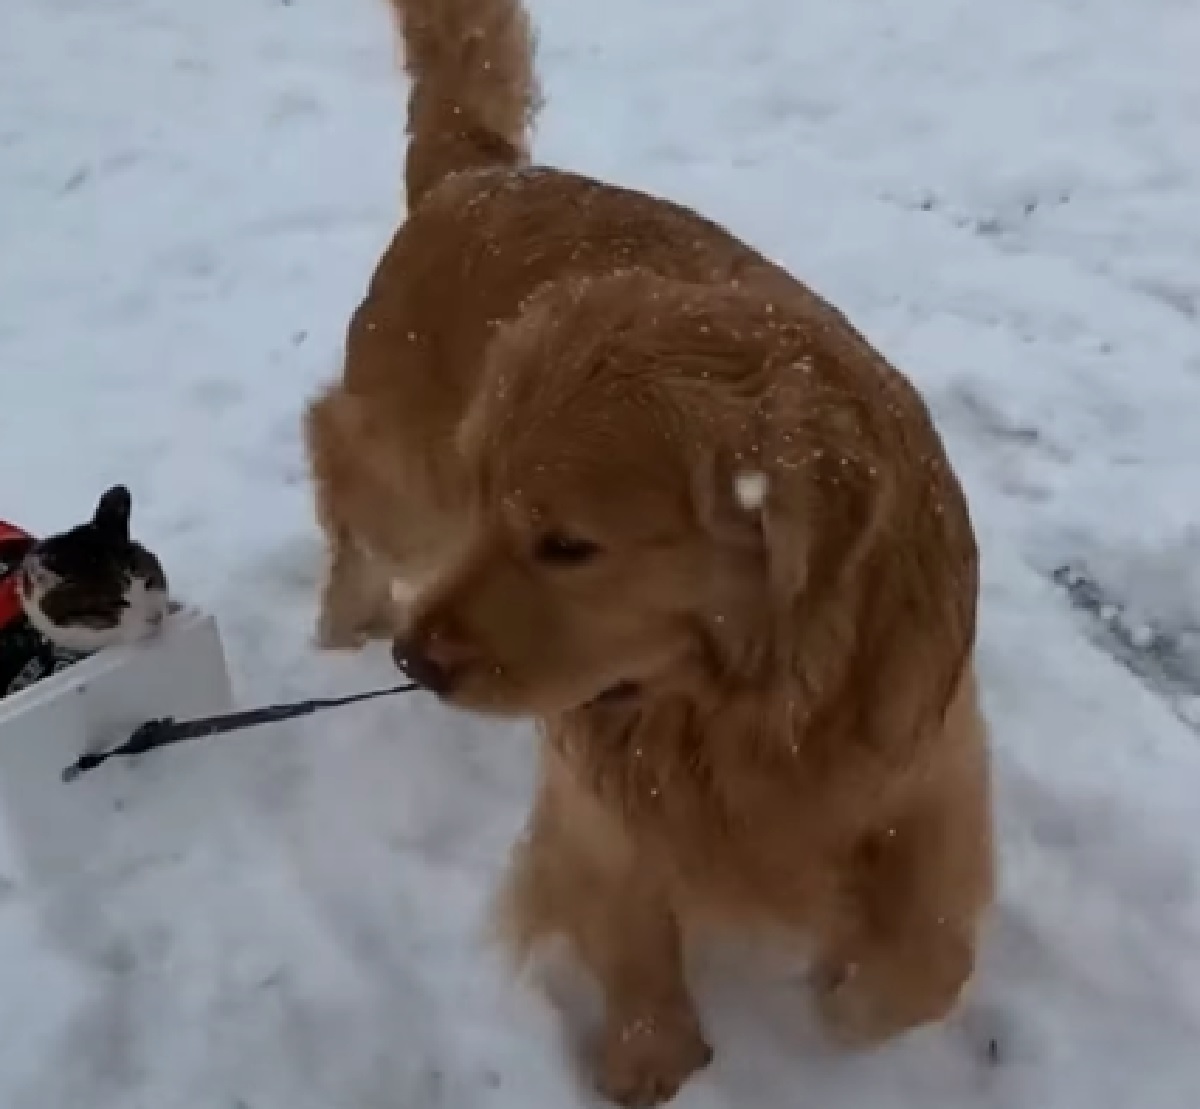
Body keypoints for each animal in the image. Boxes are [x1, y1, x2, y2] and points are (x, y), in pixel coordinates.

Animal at [307, 4, 993, 1104]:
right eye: (500, 511)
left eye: (567, 545)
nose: (417, 660)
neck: (737, 706)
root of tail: (480, 173)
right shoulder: (594, 799)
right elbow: (632, 935)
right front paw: (650, 1054)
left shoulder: (933, 759)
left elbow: (930, 956)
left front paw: (847, 995)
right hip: (410, 484)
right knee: (337, 459)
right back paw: (345, 615)